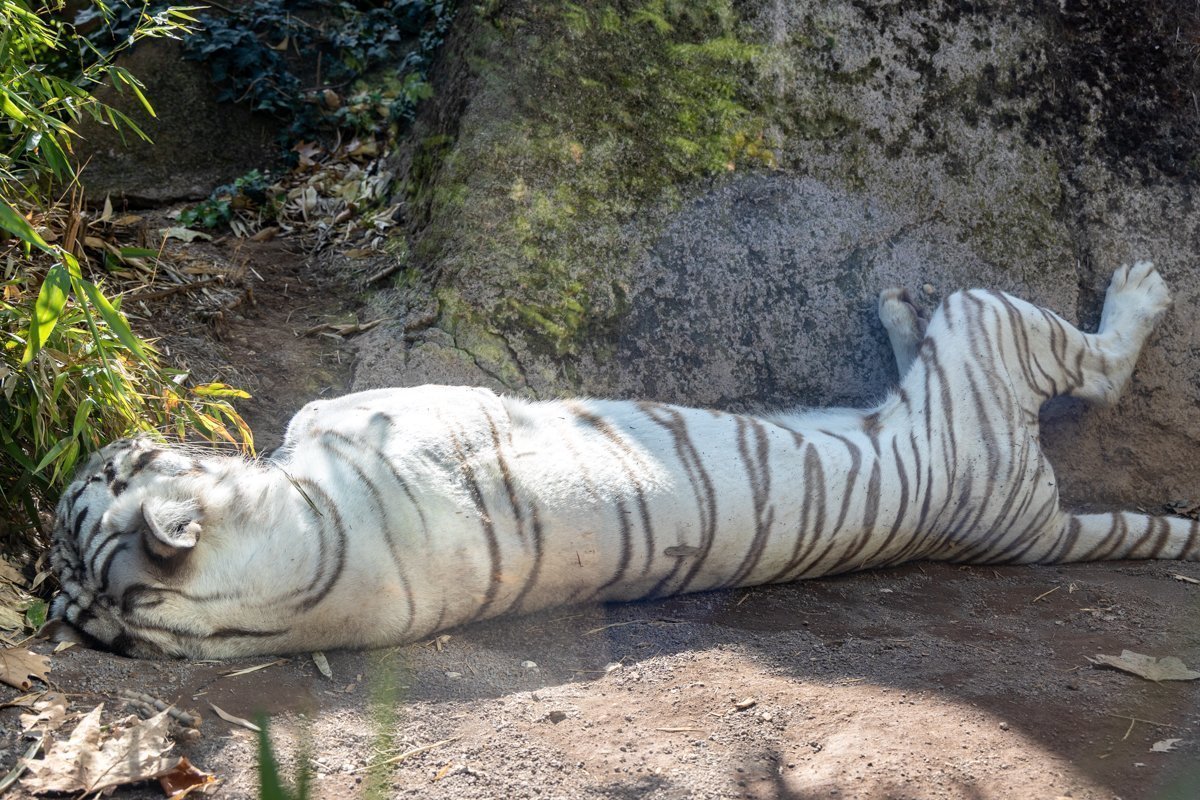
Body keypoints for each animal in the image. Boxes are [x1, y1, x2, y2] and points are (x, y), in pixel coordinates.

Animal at [45, 261, 1197, 659]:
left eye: (100, 482)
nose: (109, 438)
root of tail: (1020, 522)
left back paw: (899, 304)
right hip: (987, 333)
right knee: (1092, 363)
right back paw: (1132, 284)